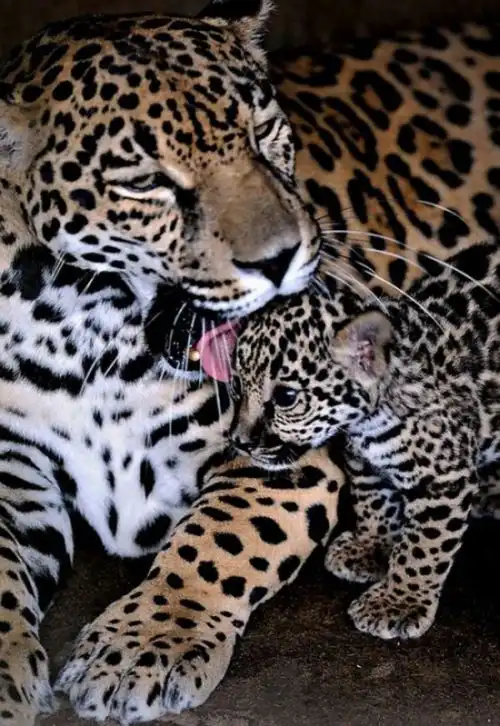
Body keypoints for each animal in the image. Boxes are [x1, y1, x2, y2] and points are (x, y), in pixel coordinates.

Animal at [231, 239, 500, 642]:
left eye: (286, 397)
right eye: (236, 386)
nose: (240, 442)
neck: (370, 422)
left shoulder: (443, 481)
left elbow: (423, 547)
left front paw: (399, 602)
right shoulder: (362, 458)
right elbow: (372, 501)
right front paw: (369, 547)